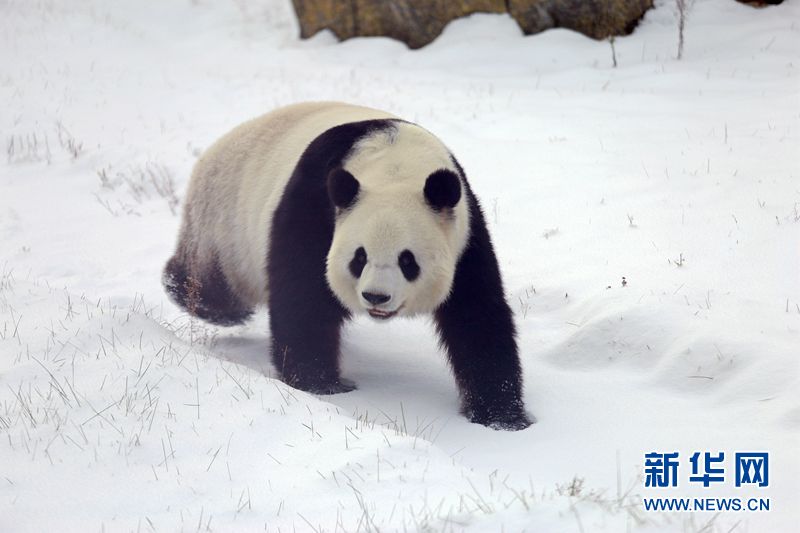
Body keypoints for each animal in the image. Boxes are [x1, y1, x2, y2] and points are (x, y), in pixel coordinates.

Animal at [164, 102, 532, 430]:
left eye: (407, 260)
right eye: (359, 257)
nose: (376, 297)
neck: (396, 165)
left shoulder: (464, 234)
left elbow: (477, 317)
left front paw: (502, 418)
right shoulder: (314, 207)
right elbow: (304, 300)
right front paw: (322, 384)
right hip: (224, 226)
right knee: (209, 283)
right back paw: (207, 303)